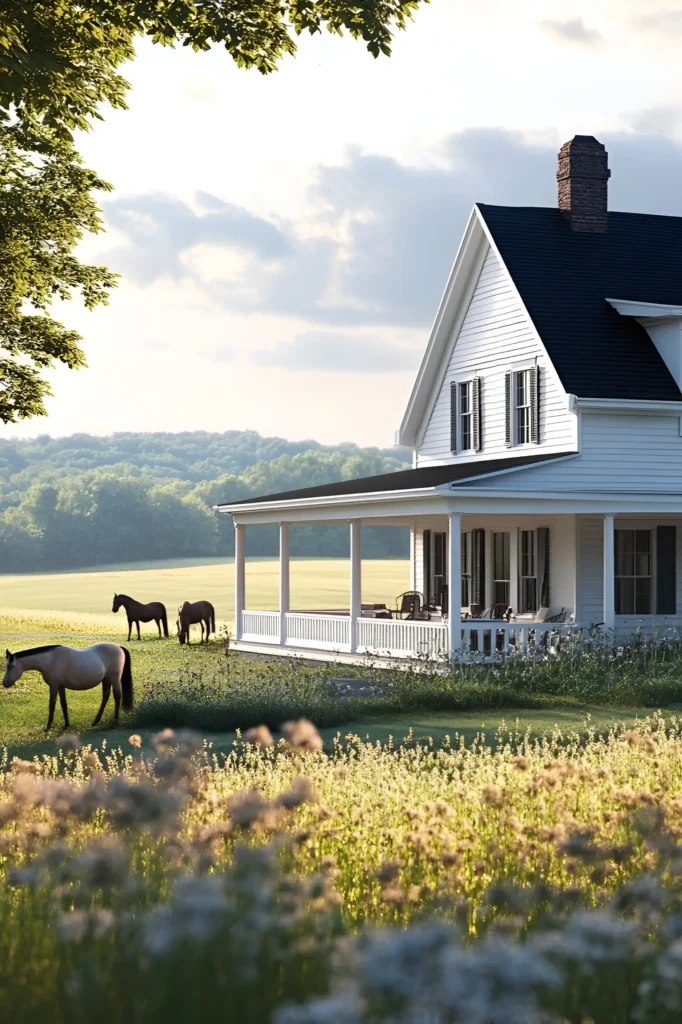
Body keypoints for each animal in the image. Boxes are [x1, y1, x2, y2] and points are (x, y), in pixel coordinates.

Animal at [2, 643, 133, 733]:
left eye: (10, 666)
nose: (4, 683)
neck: (50, 660)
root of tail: (119, 647)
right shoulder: (61, 686)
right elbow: (63, 704)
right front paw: (66, 724)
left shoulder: (54, 686)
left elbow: (52, 705)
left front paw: (48, 727)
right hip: (106, 679)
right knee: (106, 696)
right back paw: (96, 721)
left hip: (114, 679)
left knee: (117, 696)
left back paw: (115, 720)